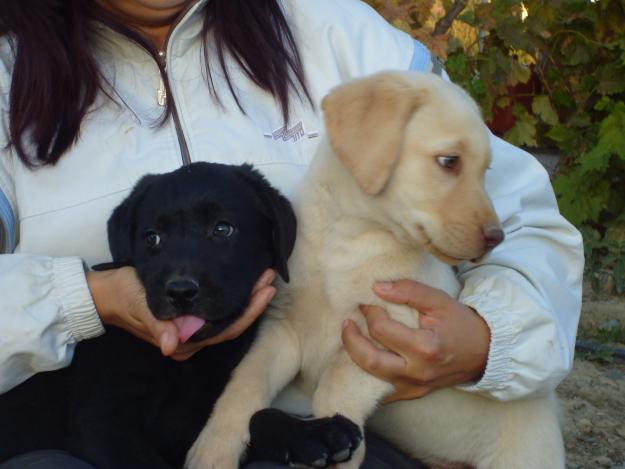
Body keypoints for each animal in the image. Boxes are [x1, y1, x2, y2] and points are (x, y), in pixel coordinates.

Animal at [0, 163, 296, 468]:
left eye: (222, 229)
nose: (180, 292)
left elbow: (259, 417)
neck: (189, 364)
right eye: (152, 238)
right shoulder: (102, 423)